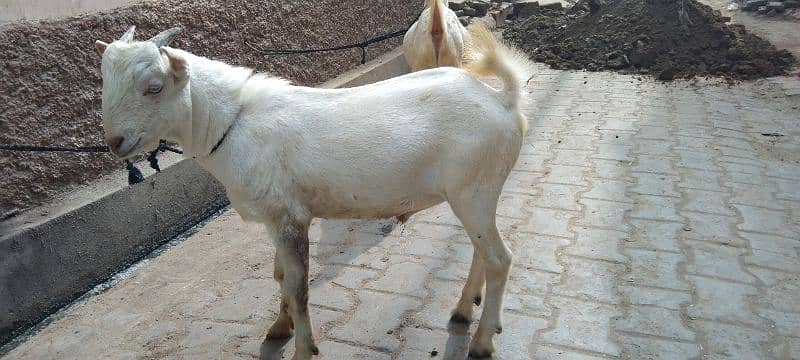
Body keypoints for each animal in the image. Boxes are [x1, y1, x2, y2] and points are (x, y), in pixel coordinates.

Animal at [95, 23, 532, 358]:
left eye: (154, 86)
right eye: (103, 81)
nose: (115, 142)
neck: (233, 123)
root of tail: (503, 99)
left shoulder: (290, 218)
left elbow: (299, 287)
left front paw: (304, 348)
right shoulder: (276, 216)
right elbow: (279, 276)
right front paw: (279, 326)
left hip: (474, 190)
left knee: (500, 259)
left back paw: (481, 341)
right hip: (474, 193)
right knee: (482, 251)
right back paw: (462, 310)